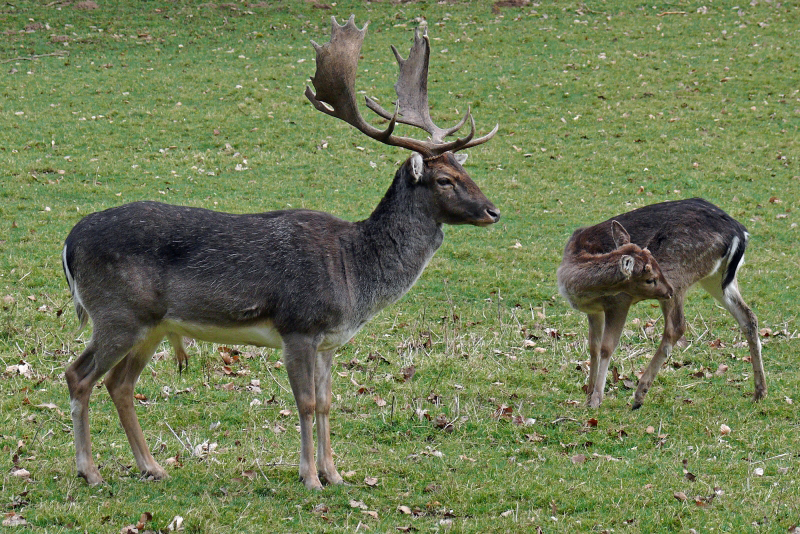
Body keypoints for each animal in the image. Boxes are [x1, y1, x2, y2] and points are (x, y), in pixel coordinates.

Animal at [64, 15, 500, 494]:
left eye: (466, 170)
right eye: (444, 179)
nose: (493, 210)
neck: (354, 274)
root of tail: (68, 243)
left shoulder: (330, 341)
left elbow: (327, 402)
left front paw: (336, 474)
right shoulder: (299, 327)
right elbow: (305, 403)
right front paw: (309, 477)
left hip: (152, 325)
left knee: (119, 384)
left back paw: (152, 467)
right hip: (116, 313)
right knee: (78, 375)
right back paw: (89, 470)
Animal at [560, 199, 764, 412]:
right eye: (649, 276)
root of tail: (739, 233)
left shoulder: (619, 302)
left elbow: (607, 347)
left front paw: (596, 400)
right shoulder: (593, 311)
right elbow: (593, 348)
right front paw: (588, 396)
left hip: (678, 273)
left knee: (677, 327)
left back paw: (639, 395)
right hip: (717, 279)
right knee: (748, 317)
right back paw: (759, 393)